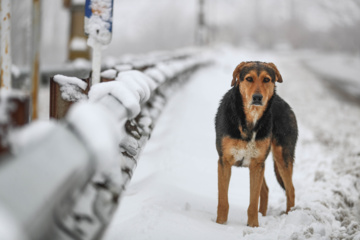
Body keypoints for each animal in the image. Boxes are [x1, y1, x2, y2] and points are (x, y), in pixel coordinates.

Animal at [214, 61, 298, 227]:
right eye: (249, 79)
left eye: (266, 79)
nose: (257, 97)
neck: (250, 120)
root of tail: (285, 104)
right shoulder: (225, 162)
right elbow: (223, 201)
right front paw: (220, 225)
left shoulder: (257, 164)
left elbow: (252, 202)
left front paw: (253, 226)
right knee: (265, 190)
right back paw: (263, 215)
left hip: (282, 158)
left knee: (290, 190)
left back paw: (290, 217)